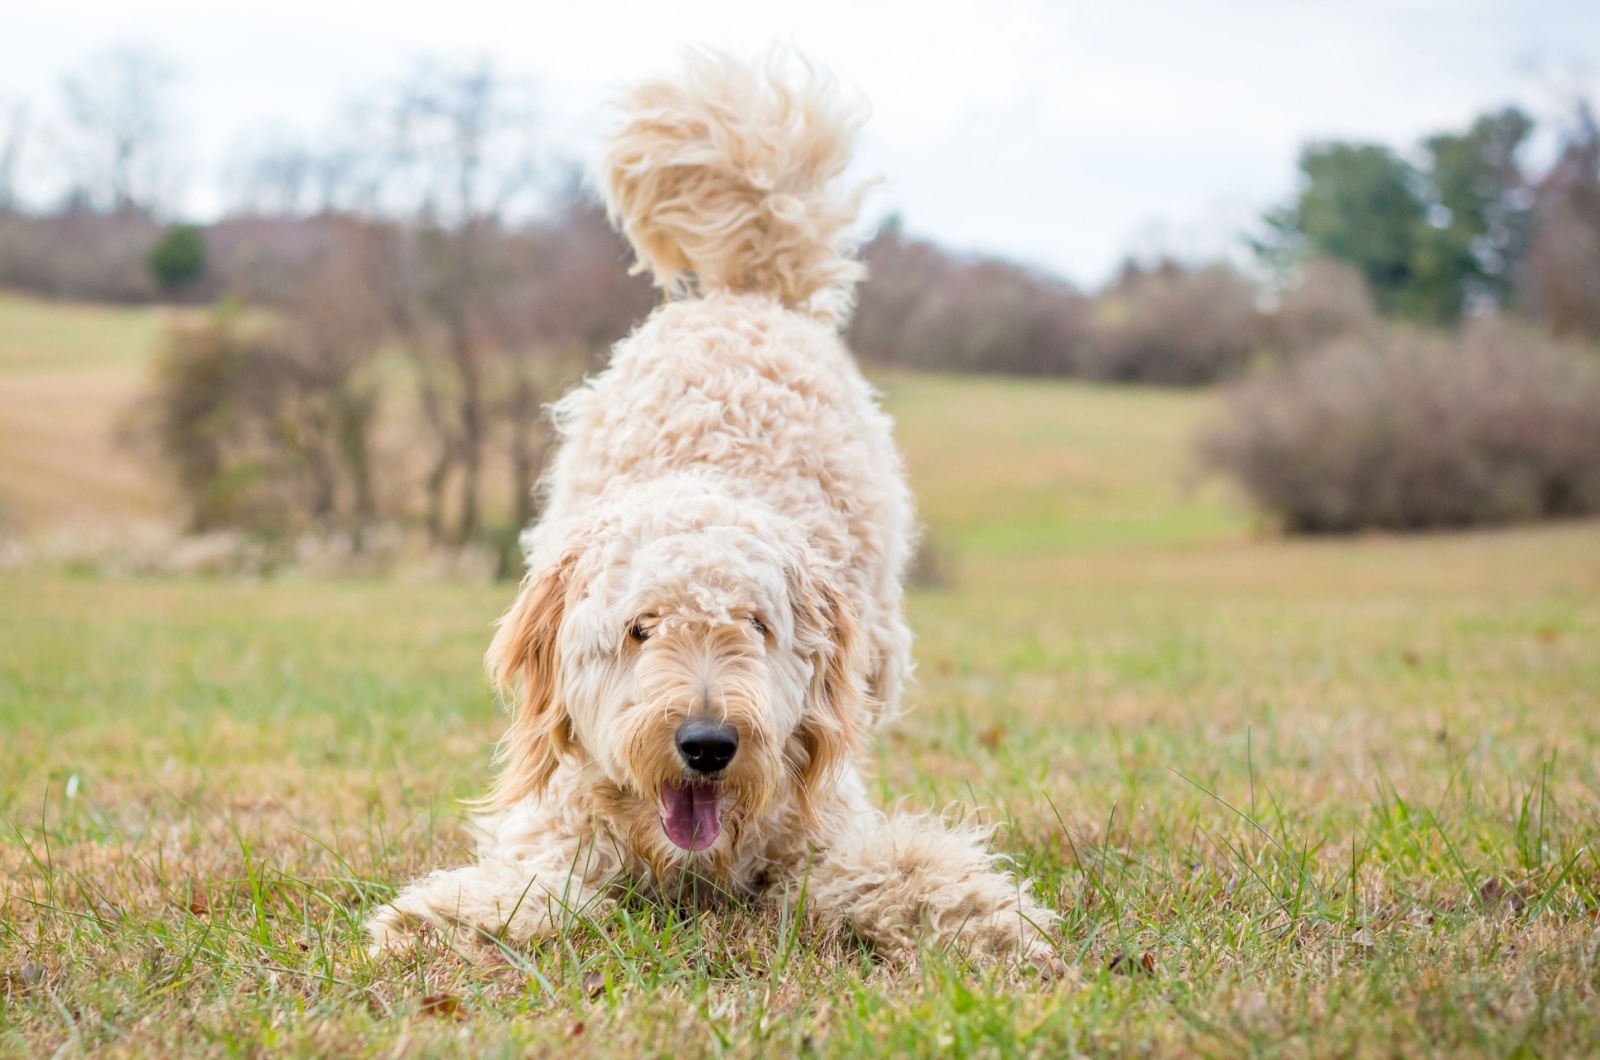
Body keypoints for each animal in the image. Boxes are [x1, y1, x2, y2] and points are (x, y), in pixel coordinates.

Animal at [366, 52, 1056, 979]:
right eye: (640, 628)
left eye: (756, 627)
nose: (707, 743)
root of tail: (747, 293)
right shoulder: (563, 821)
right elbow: (533, 882)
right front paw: (438, 920)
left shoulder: (820, 822)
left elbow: (897, 871)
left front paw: (990, 923)